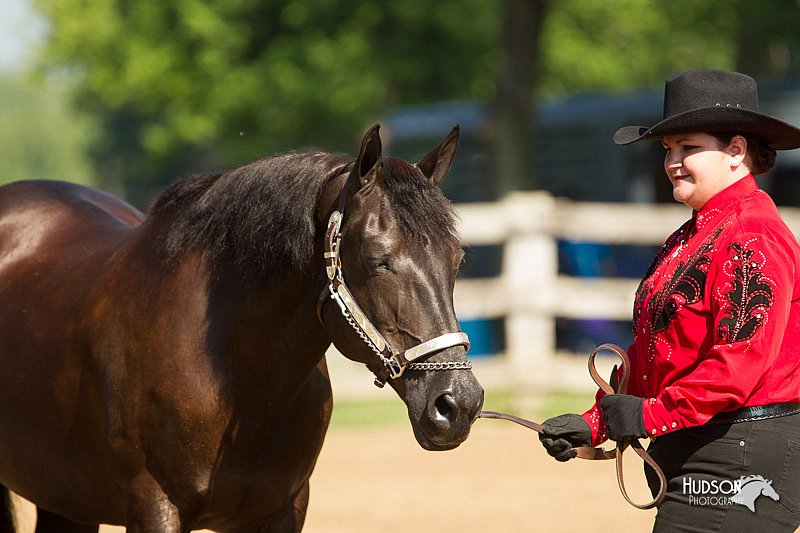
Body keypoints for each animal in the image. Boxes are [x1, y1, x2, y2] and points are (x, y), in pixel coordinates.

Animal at [0, 125, 482, 532]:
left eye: (457, 257)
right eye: (377, 259)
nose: (458, 404)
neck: (236, 377)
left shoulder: (284, 510)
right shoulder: (154, 506)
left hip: (66, 500)